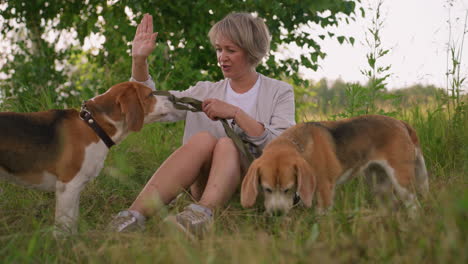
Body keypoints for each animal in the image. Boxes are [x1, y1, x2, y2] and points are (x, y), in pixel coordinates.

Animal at [0, 82, 174, 233]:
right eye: (150, 94)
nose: (172, 97)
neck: (94, 125)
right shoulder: (67, 186)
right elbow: (64, 228)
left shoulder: (75, 189)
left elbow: (73, 222)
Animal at [241, 114, 428, 216]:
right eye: (267, 189)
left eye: (288, 189)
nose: (277, 214)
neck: (299, 145)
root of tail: (401, 123)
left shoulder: (325, 191)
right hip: (378, 182)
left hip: (402, 181)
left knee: (414, 206)